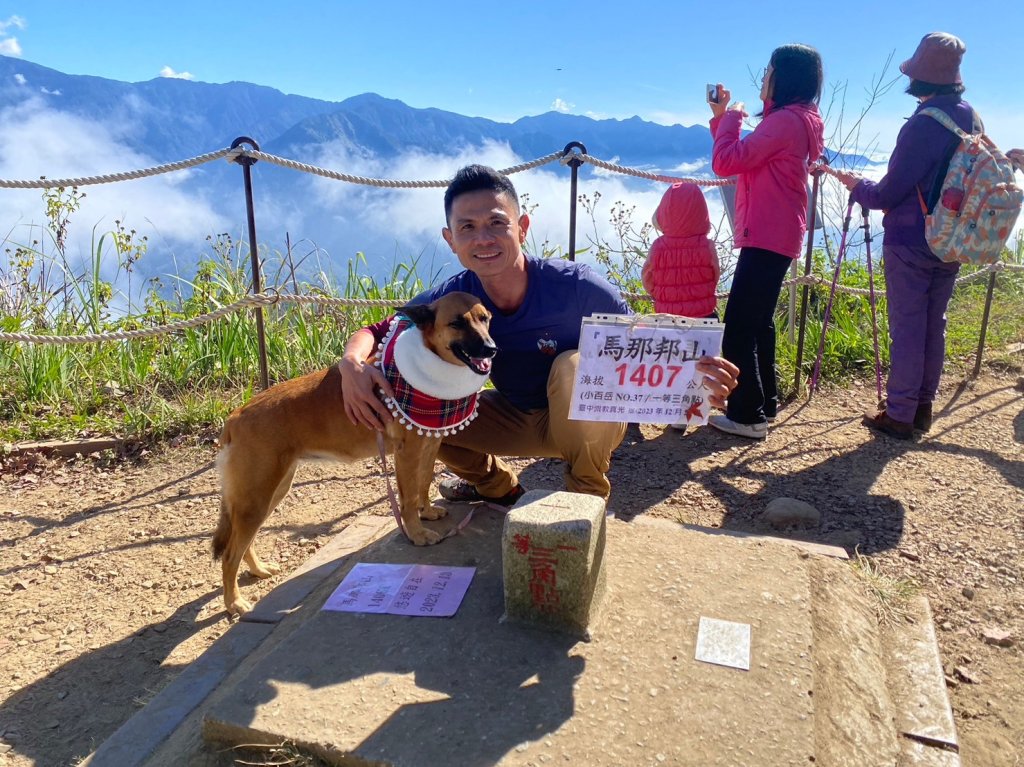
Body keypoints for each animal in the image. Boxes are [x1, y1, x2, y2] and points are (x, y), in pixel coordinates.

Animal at [212, 290, 495, 614]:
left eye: (484, 318)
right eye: (457, 323)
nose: (491, 349)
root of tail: (235, 416)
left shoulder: (429, 444)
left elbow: (423, 484)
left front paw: (427, 512)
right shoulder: (407, 454)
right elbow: (408, 498)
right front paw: (417, 534)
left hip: (269, 493)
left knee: (244, 542)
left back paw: (258, 570)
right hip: (256, 497)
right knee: (230, 554)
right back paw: (234, 602)